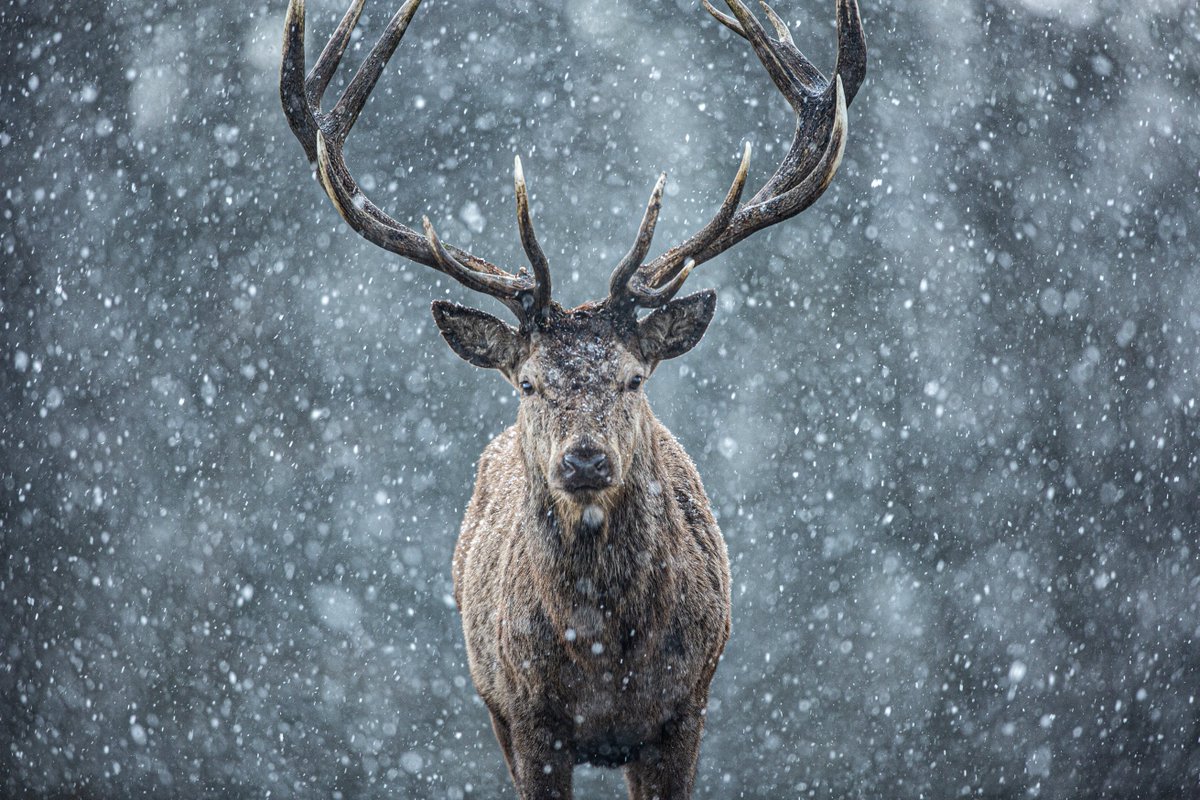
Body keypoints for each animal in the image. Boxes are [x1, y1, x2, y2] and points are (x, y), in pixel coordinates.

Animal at [280, 0, 864, 796]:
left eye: (634, 377)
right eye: (528, 382)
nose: (584, 461)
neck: (602, 660)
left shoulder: (684, 711)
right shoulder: (528, 719)